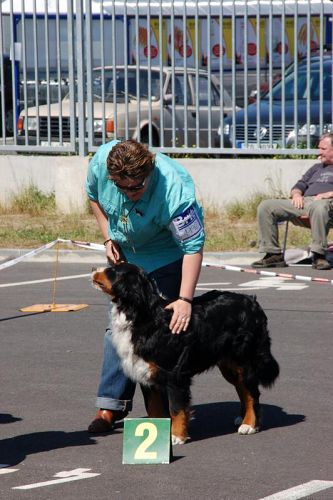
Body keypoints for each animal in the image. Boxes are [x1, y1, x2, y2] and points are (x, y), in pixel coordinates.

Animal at [90, 264, 278, 444]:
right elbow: (153, 408)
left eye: (112, 270)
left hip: (244, 361)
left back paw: (249, 425)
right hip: (229, 366)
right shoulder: (146, 374)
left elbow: (176, 408)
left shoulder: (174, 374)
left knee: (252, 393)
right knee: (242, 389)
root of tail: (252, 302)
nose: (92, 269)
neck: (143, 315)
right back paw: (242, 417)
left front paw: (177, 437)